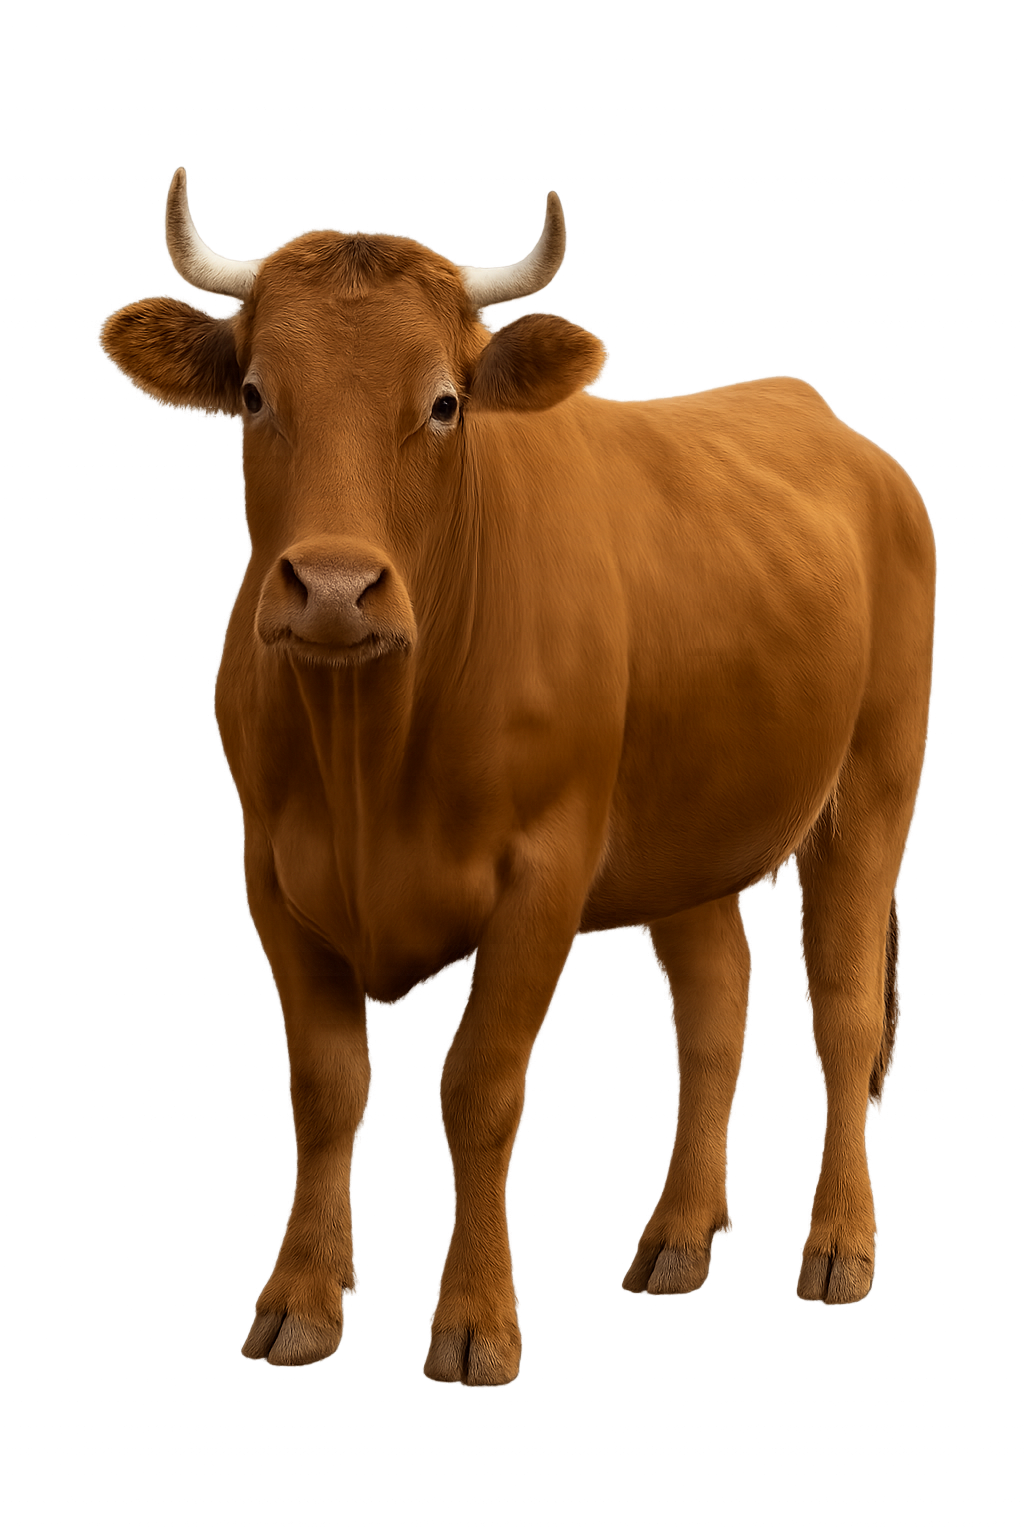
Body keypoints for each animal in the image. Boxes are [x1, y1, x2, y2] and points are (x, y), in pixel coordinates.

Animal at [102, 170, 934, 1385]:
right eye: (254, 394)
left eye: (445, 403)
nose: (335, 588)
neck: (370, 761)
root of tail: (820, 414)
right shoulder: (271, 873)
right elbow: (325, 1092)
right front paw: (301, 1300)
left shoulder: (547, 868)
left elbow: (479, 1092)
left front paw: (474, 1321)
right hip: (695, 831)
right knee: (715, 1020)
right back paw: (679, 1236)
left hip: (874, 779)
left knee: (844, 1014)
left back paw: (838, 1245)